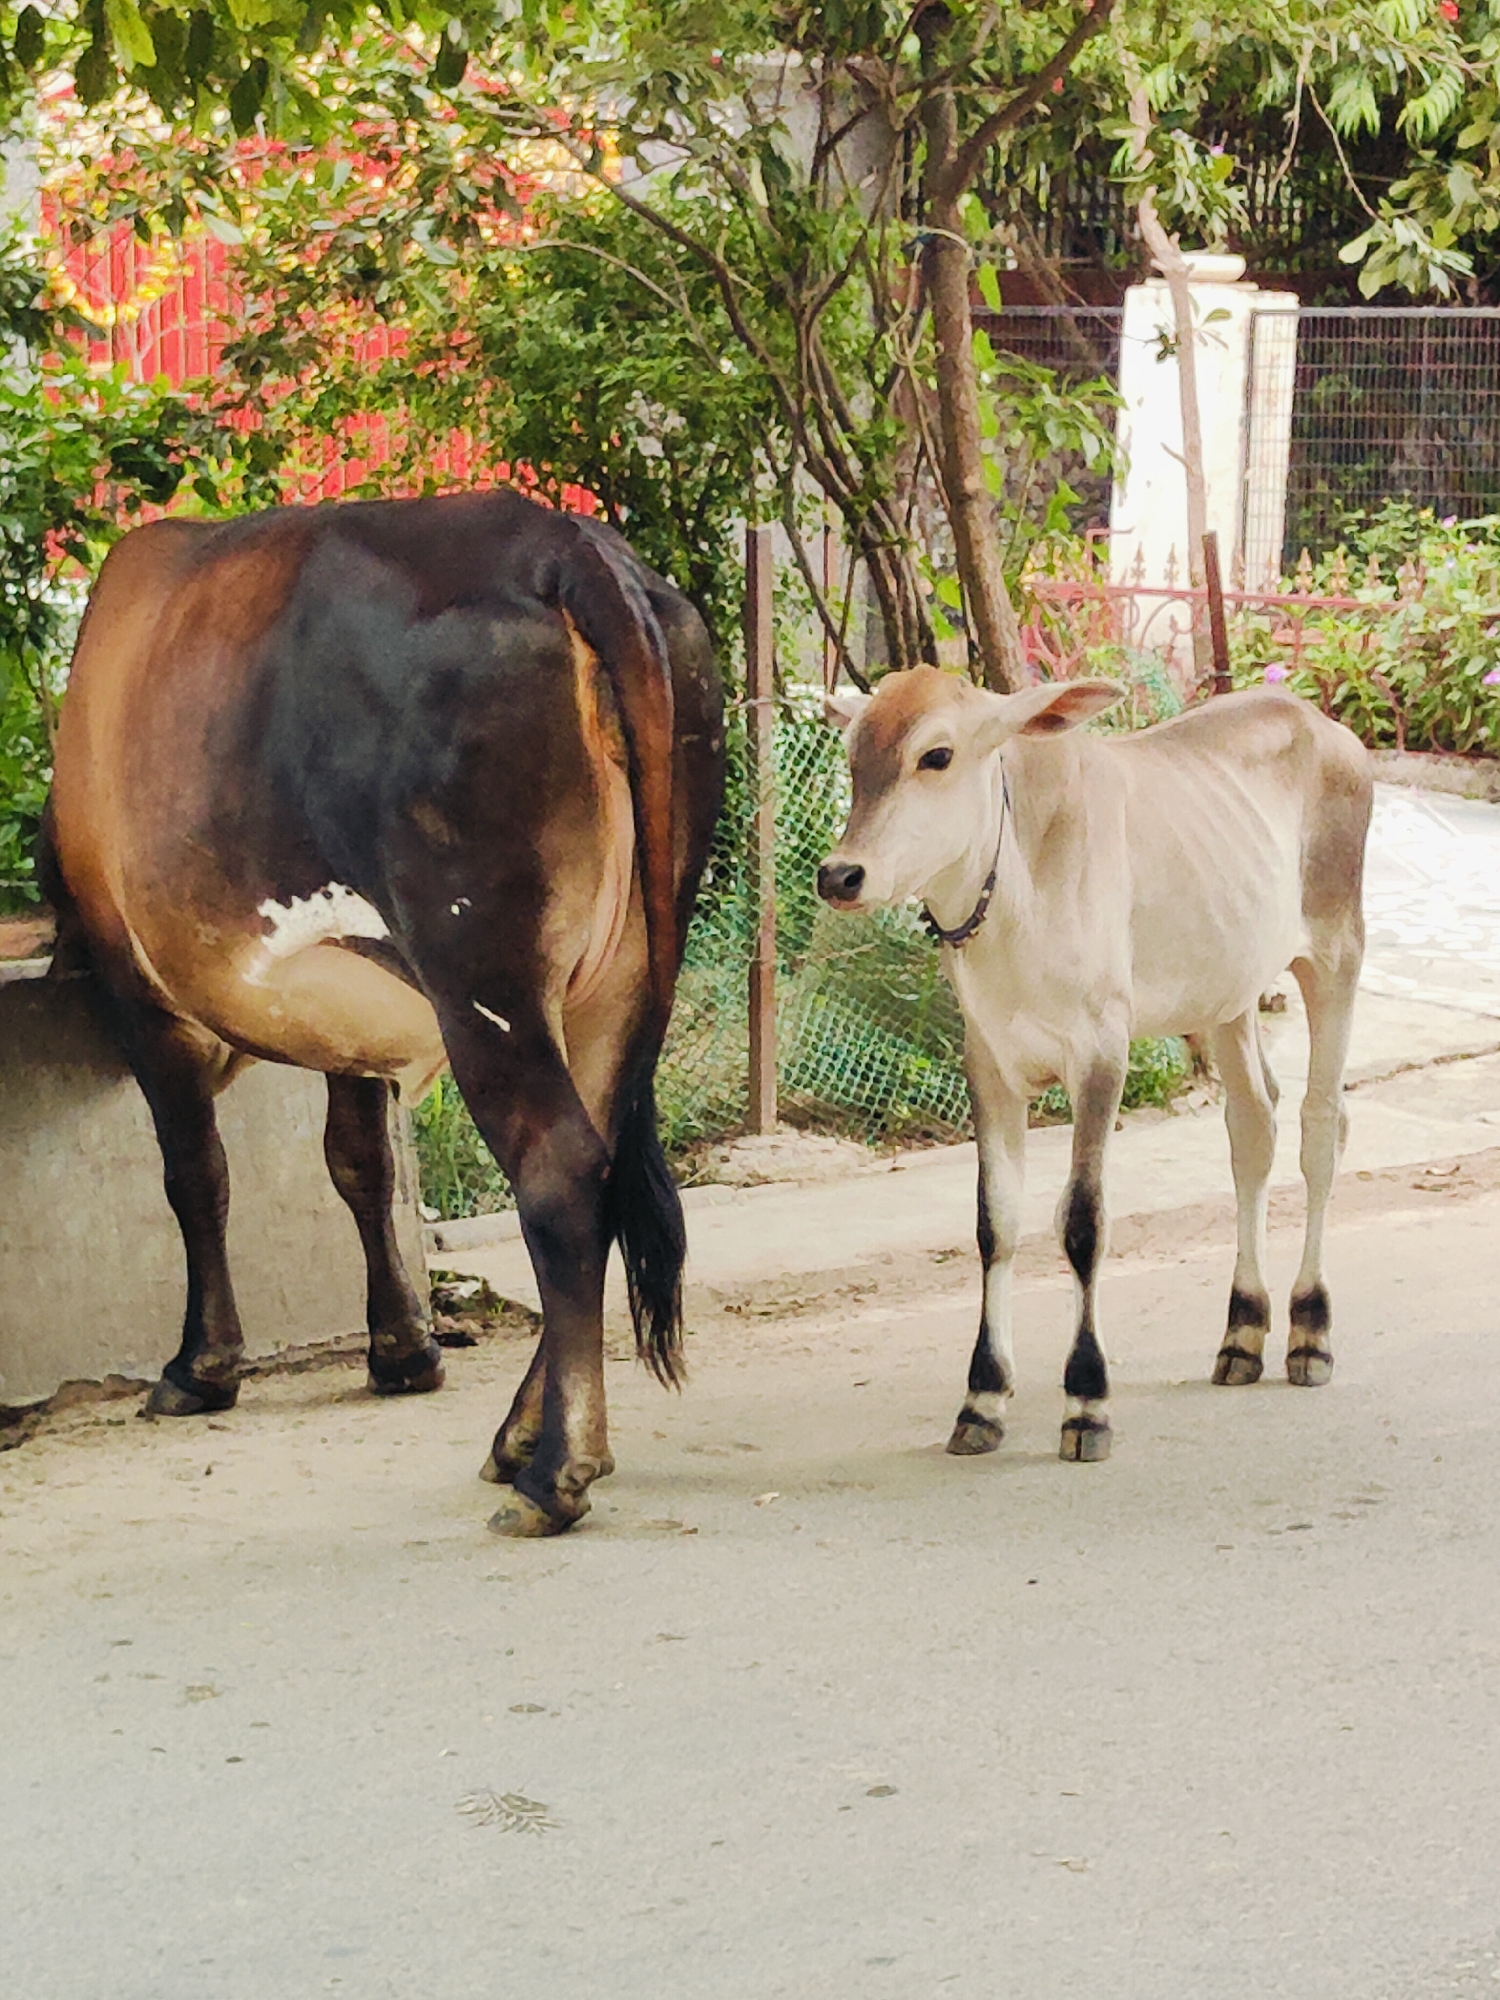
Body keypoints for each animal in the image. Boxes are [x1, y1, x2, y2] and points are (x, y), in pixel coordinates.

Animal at [41, 488, 724, 1537]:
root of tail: (567, 546)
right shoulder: (345, 1026)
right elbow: (360, 1164)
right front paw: (402, 1347)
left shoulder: (140, 998)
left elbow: (196, 1177)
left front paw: (201, 1366)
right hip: (631, 970)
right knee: (606, 1162)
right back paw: (520, 1436)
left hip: (479, 970)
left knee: (561, 1172)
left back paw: (555, 1473)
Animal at [817, 669, 1371, 1464]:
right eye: (853, 755)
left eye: (937, 755)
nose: (840, 874)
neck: (1015, 889)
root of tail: (1323, 725)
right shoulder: (987, 1061)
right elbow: (995, 1222)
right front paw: (982, 1398)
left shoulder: (1101, 1052)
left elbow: (1082, 1221)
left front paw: (1086, 1399)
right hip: (1227, 995)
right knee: (1253, 1128)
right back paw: (1242, 1329)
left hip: (1335, 954)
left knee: (1321, 1128)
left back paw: (1310, 1330)